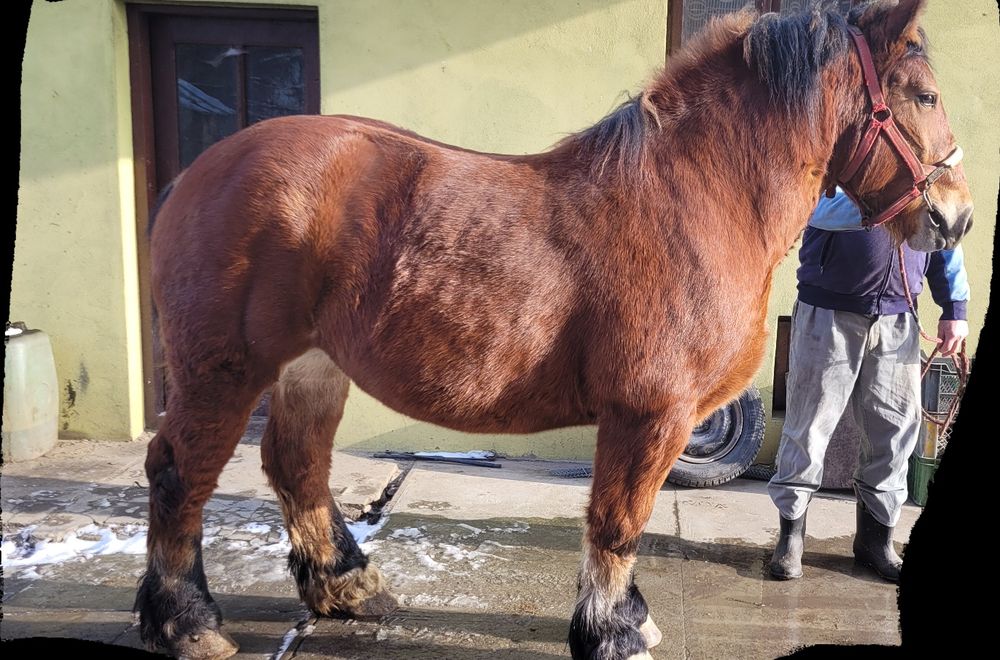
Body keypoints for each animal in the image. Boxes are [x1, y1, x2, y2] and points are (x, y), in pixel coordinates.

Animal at [133, 1, 968, 660]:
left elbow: (619, 523)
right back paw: (188, 623)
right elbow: (619, 521)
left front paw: (625, 617)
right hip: (225, 369)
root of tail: (203, 170)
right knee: (181, 474)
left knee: (297, 465)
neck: (696, 198)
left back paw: (351, 587)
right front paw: (613, 632)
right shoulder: (649, 413)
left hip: (311, 364)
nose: (955, 217)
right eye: (924, 94)